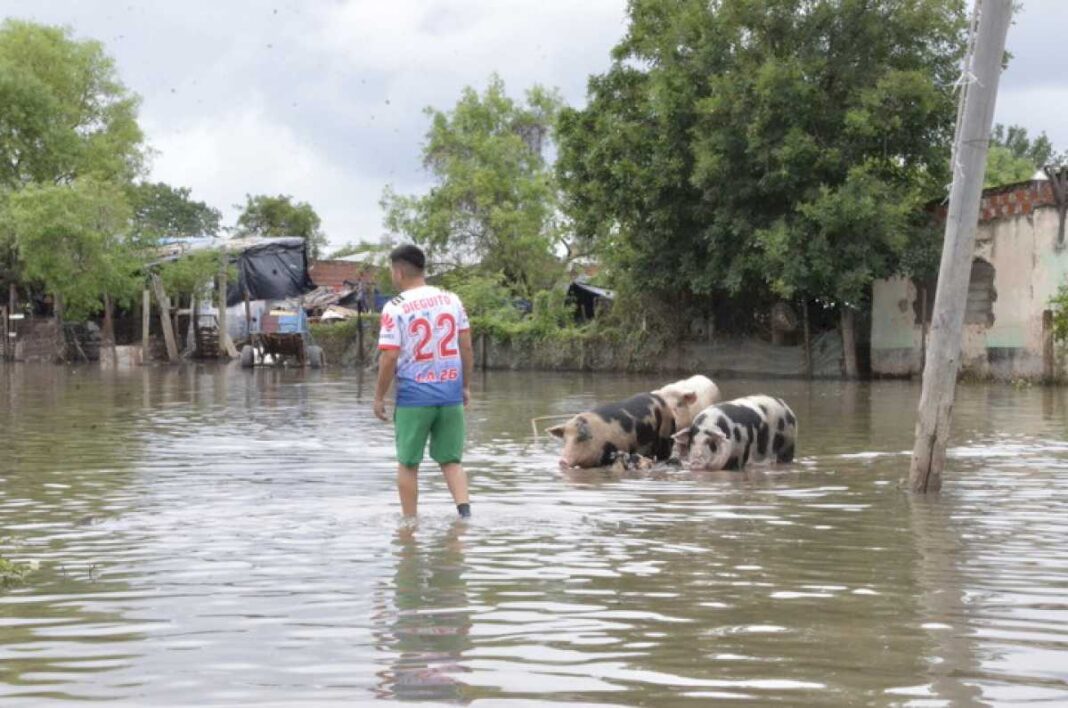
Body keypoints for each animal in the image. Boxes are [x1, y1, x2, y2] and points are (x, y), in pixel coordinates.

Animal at [670, 399, 798, 469]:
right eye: (691, 441)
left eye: (710, 442)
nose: (696, 462)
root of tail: (788, 409)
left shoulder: (742, 453)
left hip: (787, 446)